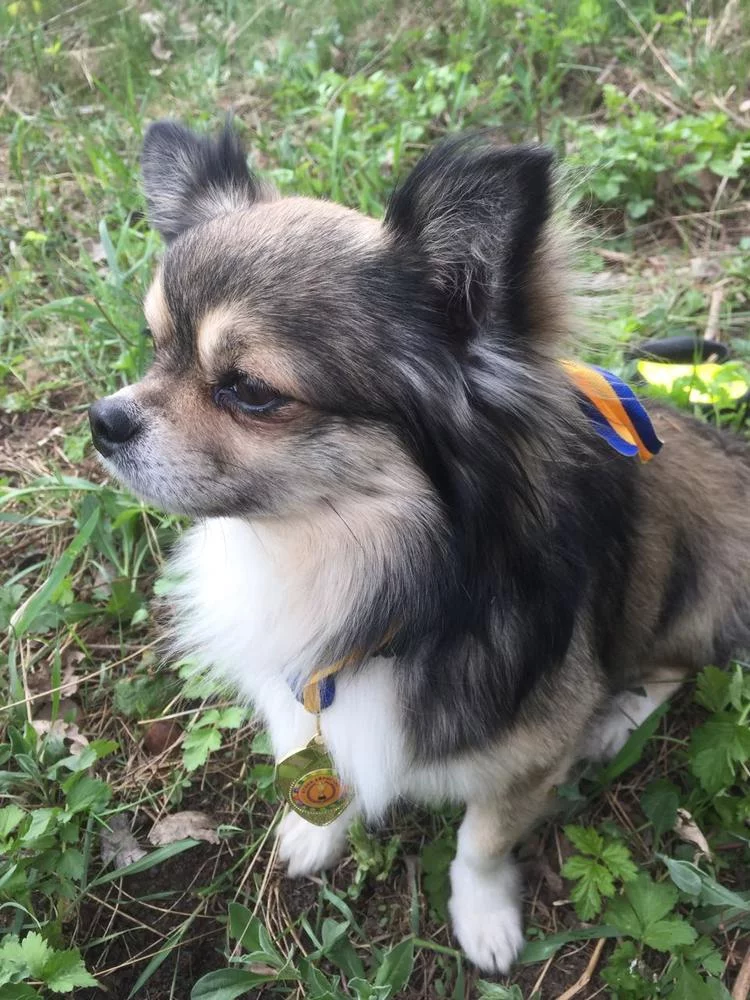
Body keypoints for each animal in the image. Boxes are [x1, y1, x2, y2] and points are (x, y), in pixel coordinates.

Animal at [89, 121, 750, 972]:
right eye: (154, 345)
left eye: (251, 391)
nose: (103, 420)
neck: (342, 563)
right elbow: (316, 760)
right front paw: (315, 830)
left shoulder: (525, 761)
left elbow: (481, 841)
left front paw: (484, 918)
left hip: (687, 585)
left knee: (671, 667)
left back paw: (613, 721)